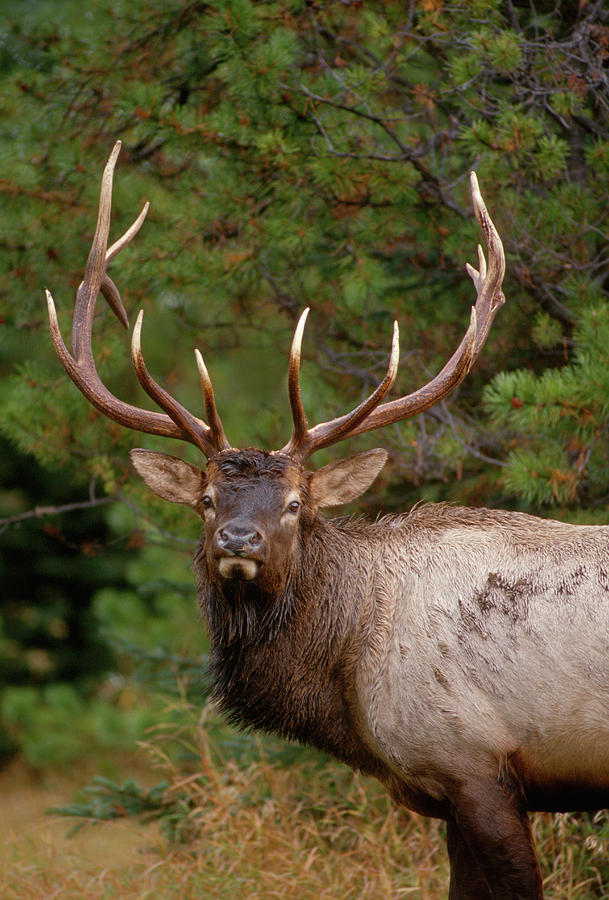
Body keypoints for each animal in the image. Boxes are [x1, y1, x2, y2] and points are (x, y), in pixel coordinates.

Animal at [46, 141, 608, 900]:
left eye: (294, 504)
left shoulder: (475, 763)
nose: (238, 539)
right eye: (206, 501)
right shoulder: (452, 786)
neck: (346, 678)